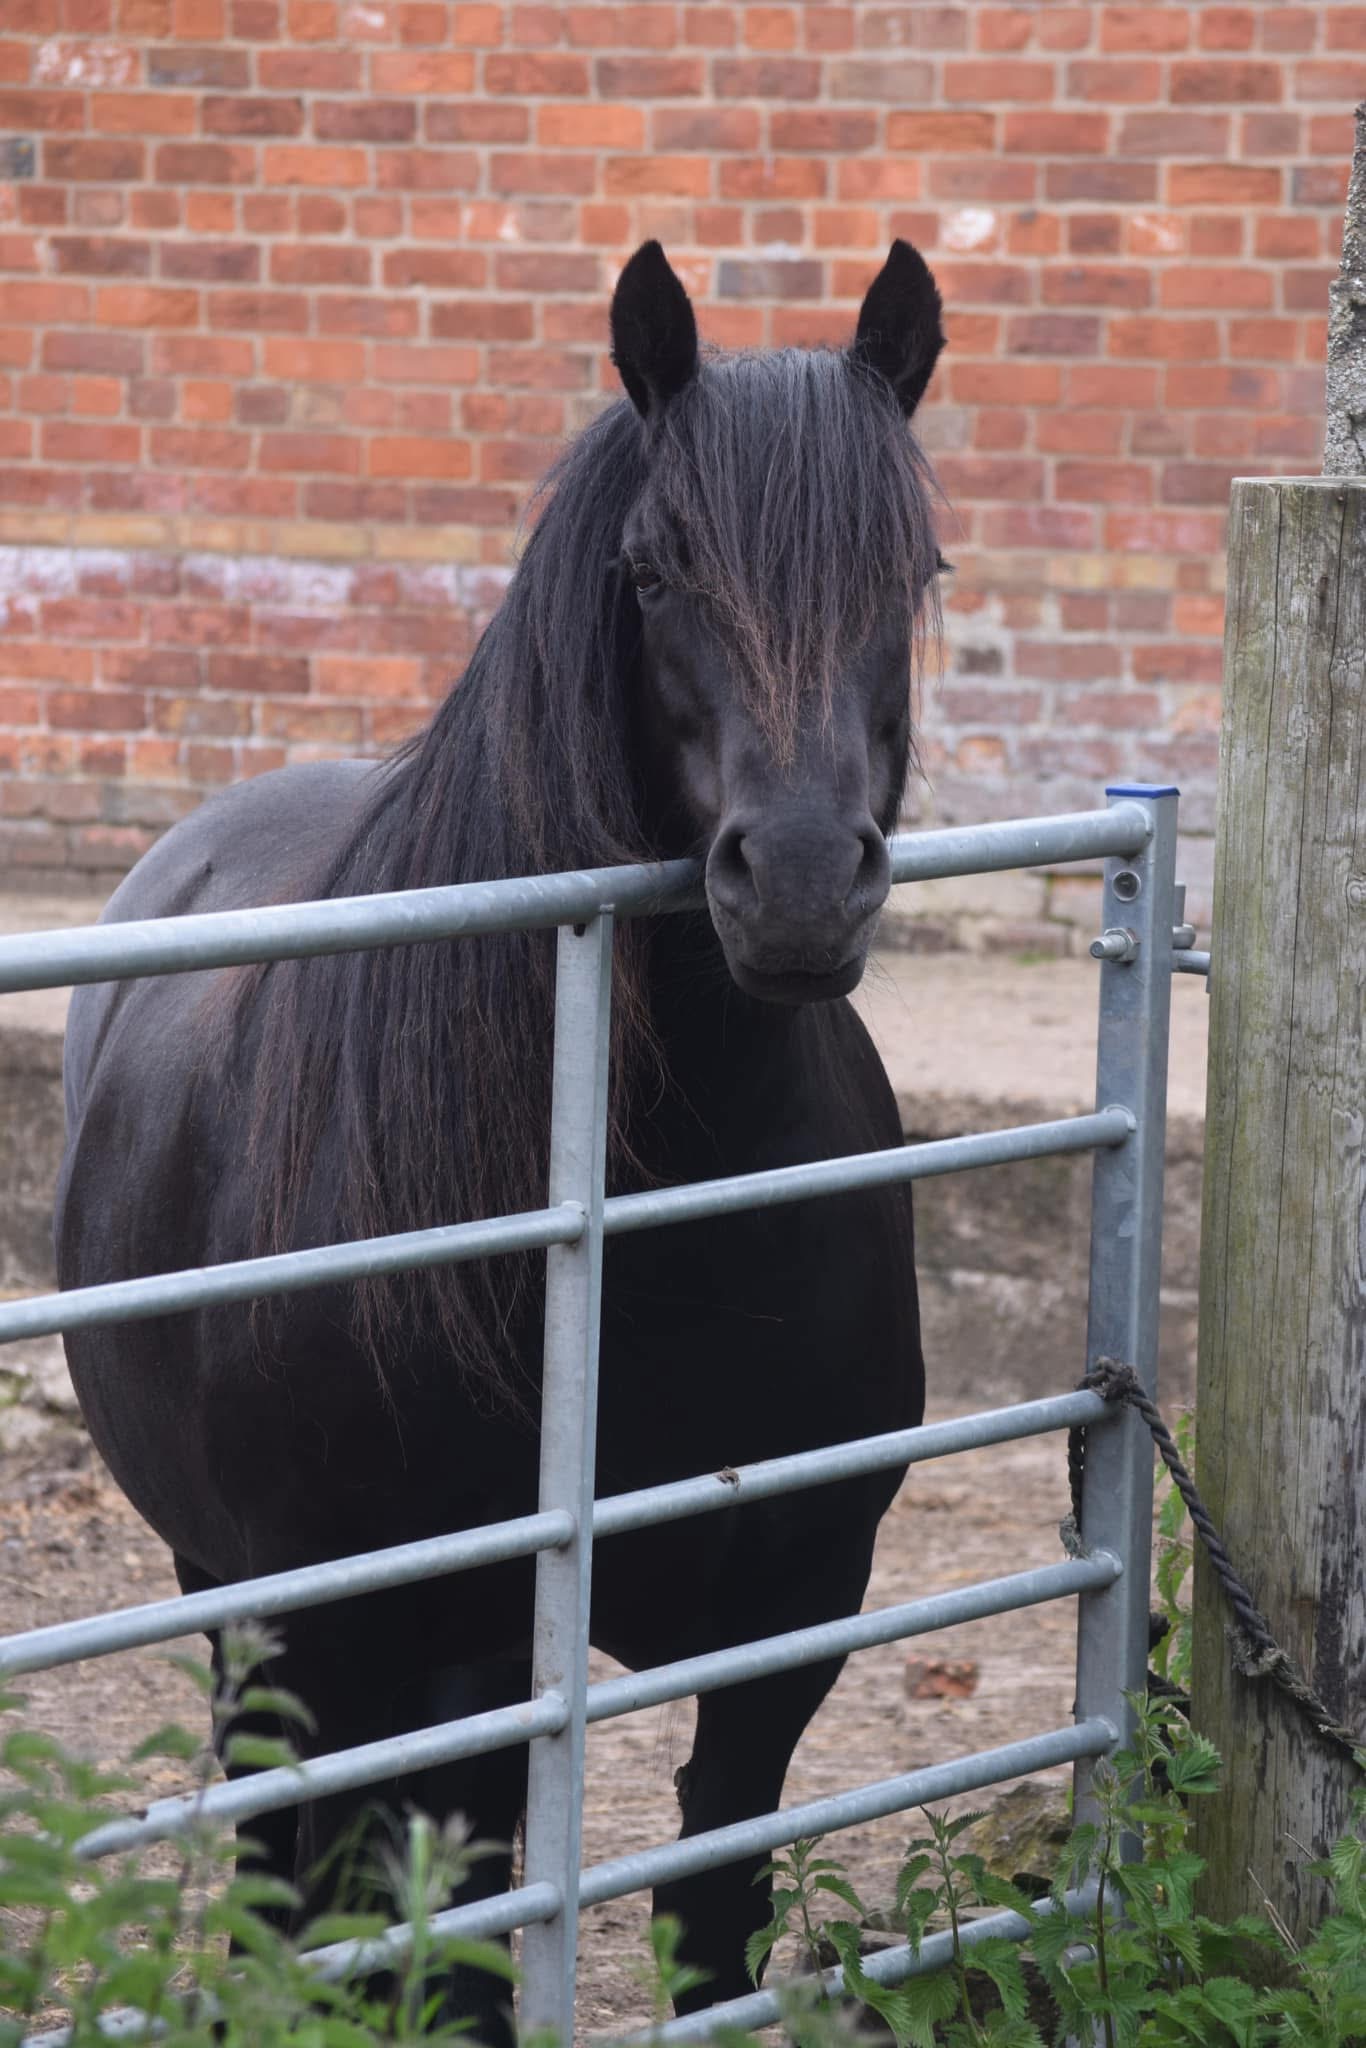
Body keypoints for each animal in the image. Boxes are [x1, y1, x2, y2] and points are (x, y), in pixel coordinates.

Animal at [55, 238, 944, 2036]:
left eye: (914, 569)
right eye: (654, 572)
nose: (798, 880)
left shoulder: (787, 1617)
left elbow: (712, 1917)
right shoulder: (411, 1658)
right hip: (262, 1616)